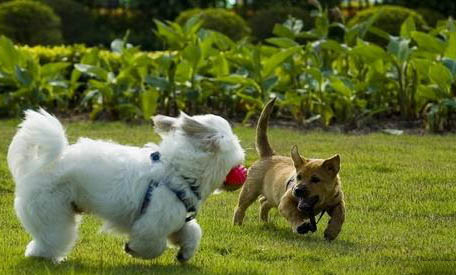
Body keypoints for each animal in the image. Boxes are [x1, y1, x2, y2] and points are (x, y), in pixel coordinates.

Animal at [6, 109, 246, 264]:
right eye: (236, 146)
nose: (243, 168)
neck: (178, 171)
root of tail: (37, 166)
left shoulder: (175, 219)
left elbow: (192, 233)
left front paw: (184, 254)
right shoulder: (151, 223)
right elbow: (154, 245)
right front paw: (133, 250)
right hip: (52, 212)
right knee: (49, 238)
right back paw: (44, 256)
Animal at [232, 99, 346, 242]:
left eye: (315, 179)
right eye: (298, 177)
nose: (297, 190)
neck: (317, 204)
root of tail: (269, 155)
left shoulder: (337, 201)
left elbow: (341, 214)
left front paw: (332, 231)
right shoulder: (285, 201)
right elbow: (293, 213)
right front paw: (300, 225)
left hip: (273, 195)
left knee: (263, 202)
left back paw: (265, 222)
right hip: (250, 191)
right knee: (240, 208)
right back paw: (237, 225)